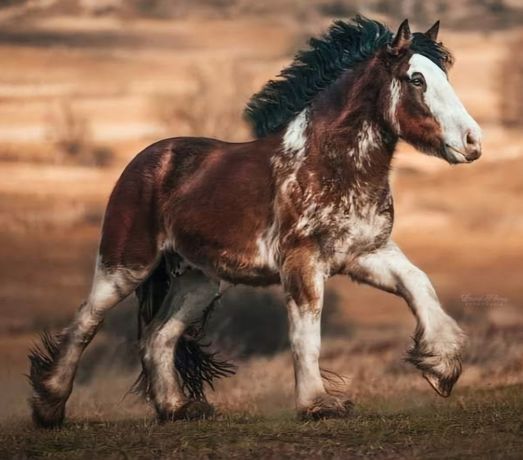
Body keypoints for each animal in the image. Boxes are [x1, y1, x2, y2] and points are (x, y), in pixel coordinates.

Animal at [29, 18, 484, 428]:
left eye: (443, 75)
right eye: (416, 79)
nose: (473, 142)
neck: (330, 165)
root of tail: (146, 160)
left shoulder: (366, 254)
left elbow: (419, 284)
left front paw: (441, 367)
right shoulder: (302, 263)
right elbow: (306, 332)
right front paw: (318, 405)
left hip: (198, 279)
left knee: (158, 337)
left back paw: (177, 409)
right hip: (126, 264)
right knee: (86, 322)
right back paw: (49, 409)